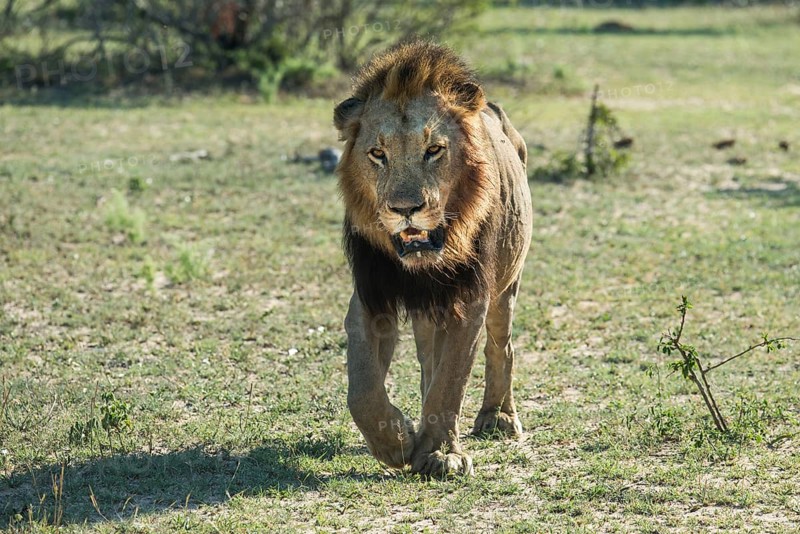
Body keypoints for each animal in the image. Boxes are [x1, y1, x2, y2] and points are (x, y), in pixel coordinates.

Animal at [334, 41, 532, 476]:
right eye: (377, 154)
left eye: (434, 150)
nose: (405, 209)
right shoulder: (370, 296)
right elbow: (362, 389)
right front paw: (397, 441)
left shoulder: (471, 298)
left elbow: (451, 379)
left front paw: (442, 453)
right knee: (428, 359)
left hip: (506, 287)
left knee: (502, 347)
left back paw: (498, 417)